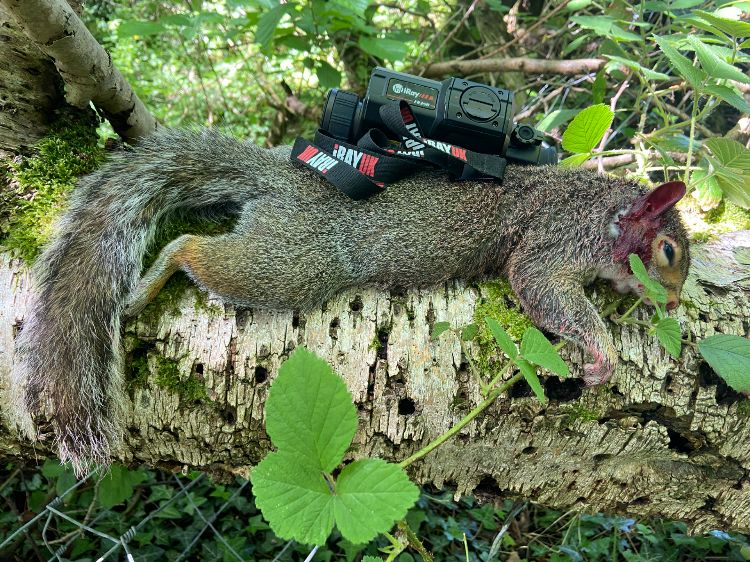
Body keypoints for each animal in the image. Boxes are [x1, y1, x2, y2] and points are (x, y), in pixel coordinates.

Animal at [10, 128, 692, 472]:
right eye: (668, 253)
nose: (674, 304)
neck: (602, 214)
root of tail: (278, 179)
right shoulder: (555, 241)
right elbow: (543, 288)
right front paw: (602, 350)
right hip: (285, 263)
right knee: (189, 248)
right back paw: (150, 282)